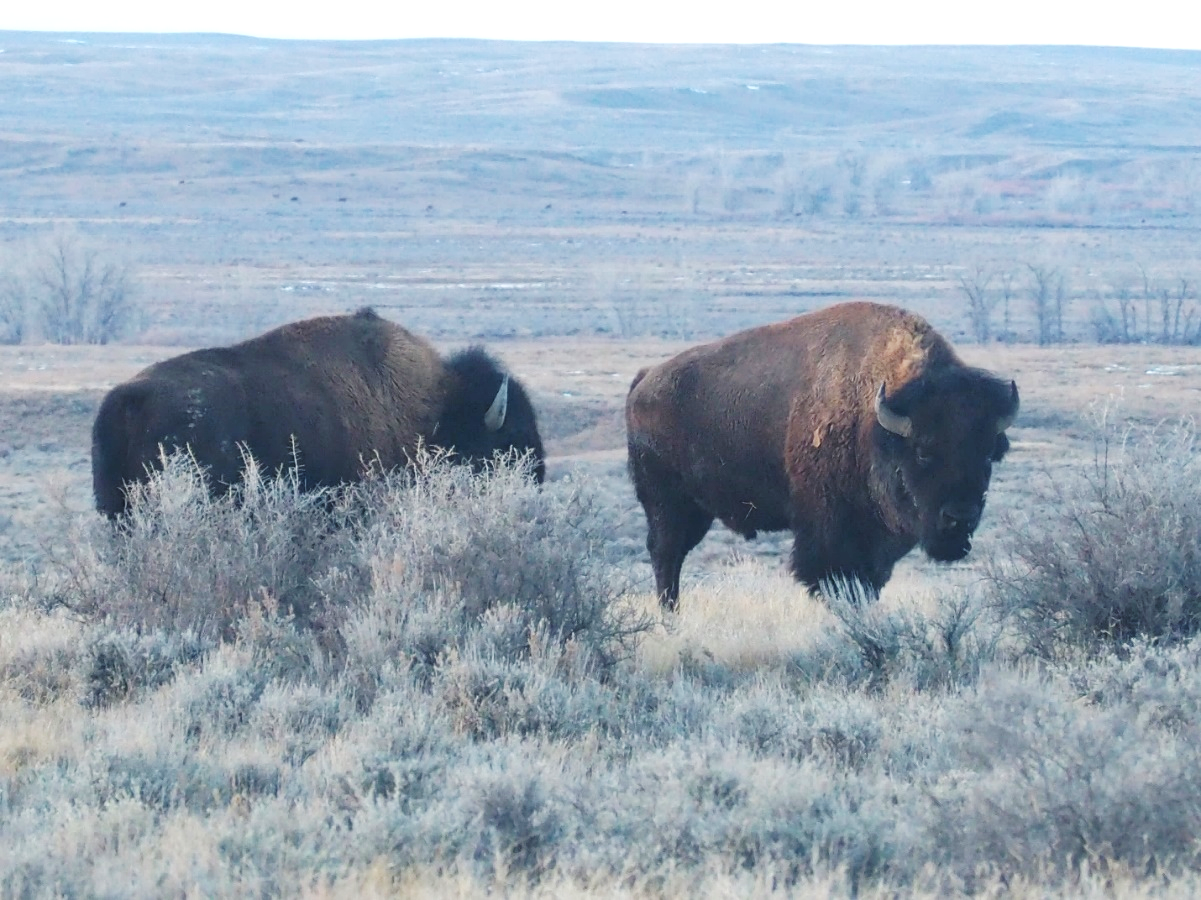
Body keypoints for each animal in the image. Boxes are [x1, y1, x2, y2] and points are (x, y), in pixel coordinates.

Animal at [624, 297, 1018, 608]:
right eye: (922, 451)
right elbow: (831, 580)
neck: (874, 424)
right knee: (666, 554)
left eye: (987, 455)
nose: (960, 518)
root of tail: (645, 379)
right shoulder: (829, 533)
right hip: (667, 504)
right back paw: (669, 614)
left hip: (697, 510)